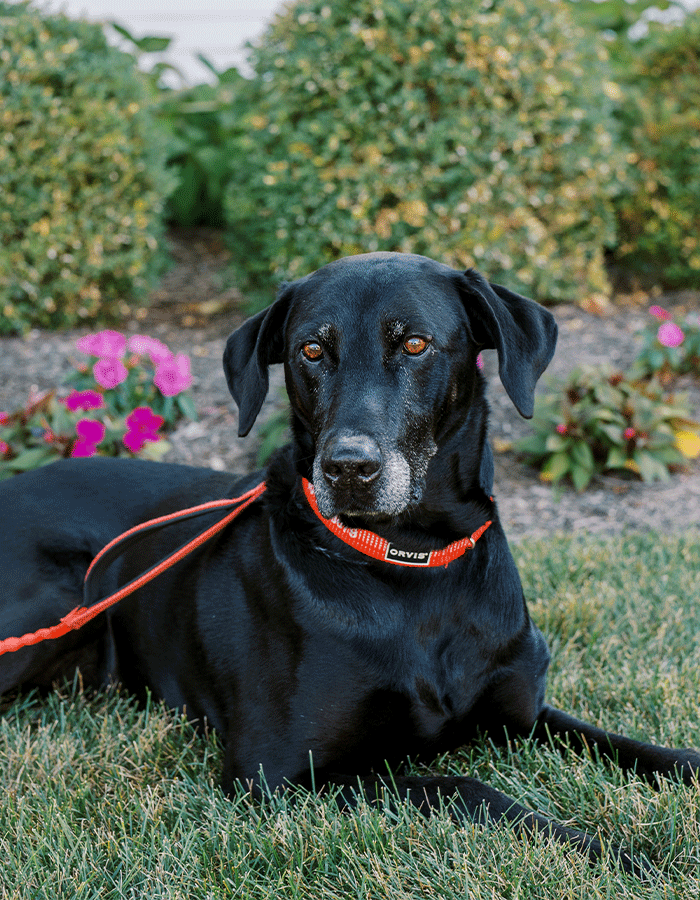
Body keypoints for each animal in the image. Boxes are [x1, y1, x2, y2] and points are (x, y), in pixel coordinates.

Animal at [0, 253, 696, 872]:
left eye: (414, 344)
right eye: (311, 351)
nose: (348, 469)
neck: (413, 564)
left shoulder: (522, 714)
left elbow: (628, 744)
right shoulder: (279, 771)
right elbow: (463, 787)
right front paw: (619, 850)